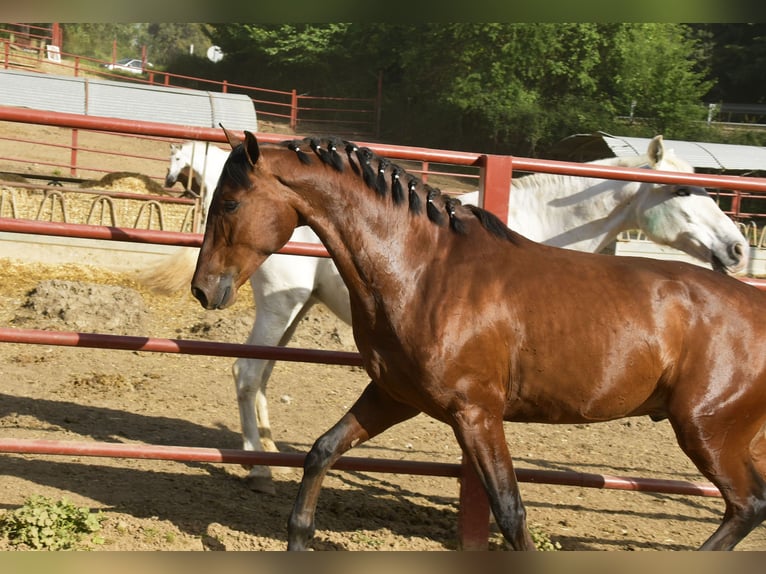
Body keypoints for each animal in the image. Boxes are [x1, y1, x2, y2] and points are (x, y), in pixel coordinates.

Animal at [190, 130, 766, 552]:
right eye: (682, 190)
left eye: (231, 202)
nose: (204, 288)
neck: (425, 269)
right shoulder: (394, 396)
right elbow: (322, 451)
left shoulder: (476, 413)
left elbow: (510, 513)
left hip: (708, 432)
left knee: (747, 506)